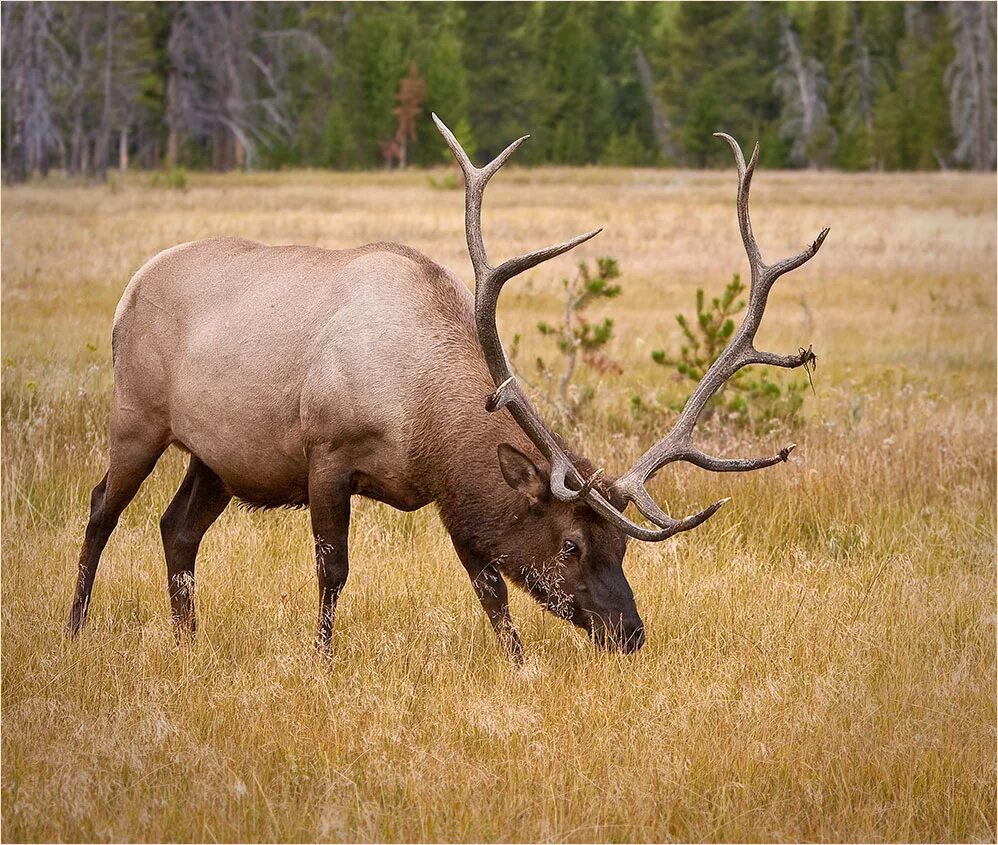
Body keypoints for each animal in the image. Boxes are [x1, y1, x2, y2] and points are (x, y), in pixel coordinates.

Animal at [68, 117, 828, 660]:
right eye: (572, 546)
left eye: (621, 544)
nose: (630, 633)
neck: (422, 416)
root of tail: (130, 288)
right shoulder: (328, 456)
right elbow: (333, 569)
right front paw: (322, 658)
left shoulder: (449, 492)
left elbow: (490, 589)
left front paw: (518, 664)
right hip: (137, 415)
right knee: (103, 507)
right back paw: (74, 627)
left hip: (216, 457)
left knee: (177, 527)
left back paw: (187, 641)